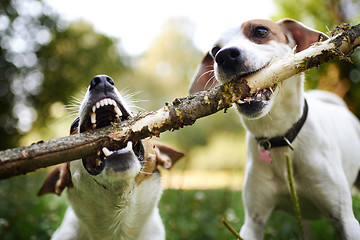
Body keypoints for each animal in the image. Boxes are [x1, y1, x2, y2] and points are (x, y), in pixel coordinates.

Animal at [190, 19, 360, 240]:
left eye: (261, 31)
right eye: (214, 50)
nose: (225, 56)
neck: (279, 137)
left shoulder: (344, 219)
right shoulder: (254, 222)